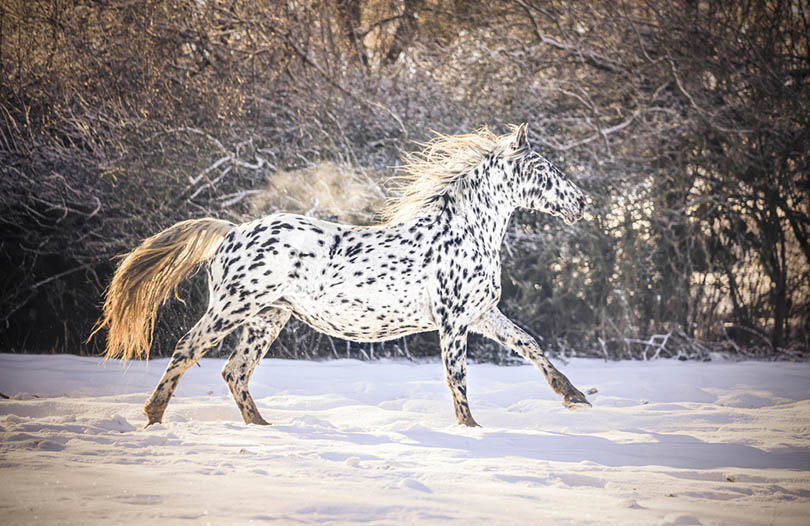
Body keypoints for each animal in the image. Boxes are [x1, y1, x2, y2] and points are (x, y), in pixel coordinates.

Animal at [93, 125, 588, 428]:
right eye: (543, 169)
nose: (582, 203)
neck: (466, 232)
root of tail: (232, 232)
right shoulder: (453, 322)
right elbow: (457, 377)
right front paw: (471, 428)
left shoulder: (482, 314)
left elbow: (530, 345)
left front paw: (575, 396)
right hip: (232, 308)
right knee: (187, 349)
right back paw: (154, 416)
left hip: (268, 317)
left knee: (235, 371)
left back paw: (263, 427)